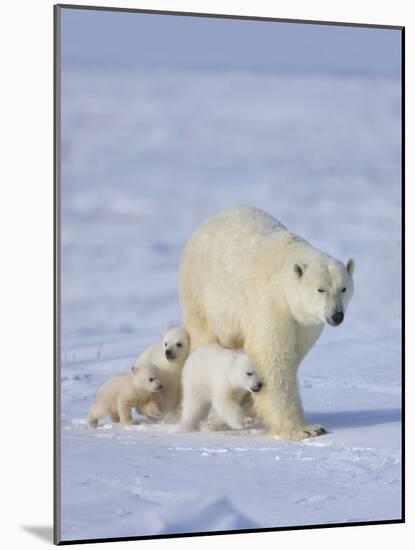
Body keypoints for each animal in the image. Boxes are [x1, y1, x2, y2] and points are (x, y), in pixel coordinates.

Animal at [179, 205, 354, 442]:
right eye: (321, 289)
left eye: (343, 288)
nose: (336, 315)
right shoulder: (269, 303)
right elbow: (271, 355)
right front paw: (304, 429)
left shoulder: (305, 324)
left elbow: (293, 353)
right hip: (202, 295)